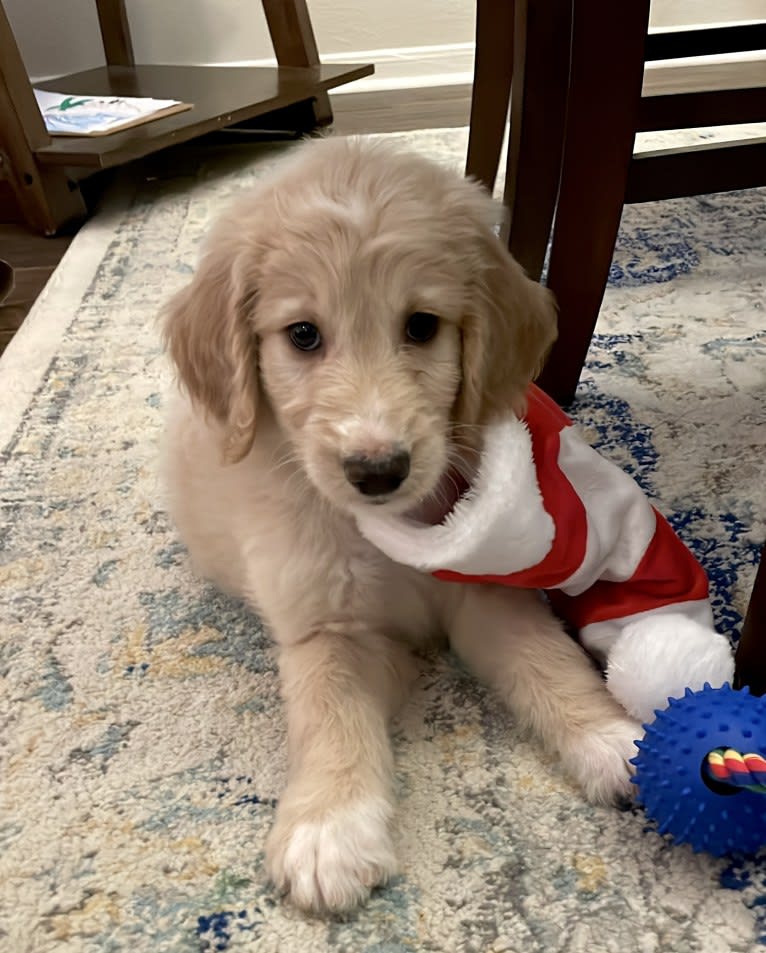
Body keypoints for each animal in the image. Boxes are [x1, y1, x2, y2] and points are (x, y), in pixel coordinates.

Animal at [164, 136, 640, 916]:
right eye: (303, 335)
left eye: (421, 325)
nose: (378, 469)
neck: (382, 533)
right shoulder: (326, 628)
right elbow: (331, 713)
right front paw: (329, 829)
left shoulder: (486, 593)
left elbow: (549, 661)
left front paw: (614, 739)